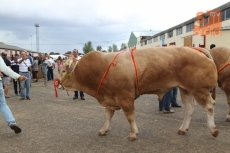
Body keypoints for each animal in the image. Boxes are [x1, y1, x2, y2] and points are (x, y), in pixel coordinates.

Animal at [58, 46, 218, 140]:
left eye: (64, 70)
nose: (58, 83)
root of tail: (197, 49)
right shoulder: (110, 97)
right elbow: (107, 116)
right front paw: (103, 130)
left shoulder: (125, 97)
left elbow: (130, 116)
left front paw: (133, 133)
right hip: (185, 89)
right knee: (190, 109)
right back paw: (183, 129)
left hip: (199, 89)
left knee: (209, 107)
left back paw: (213, 130)